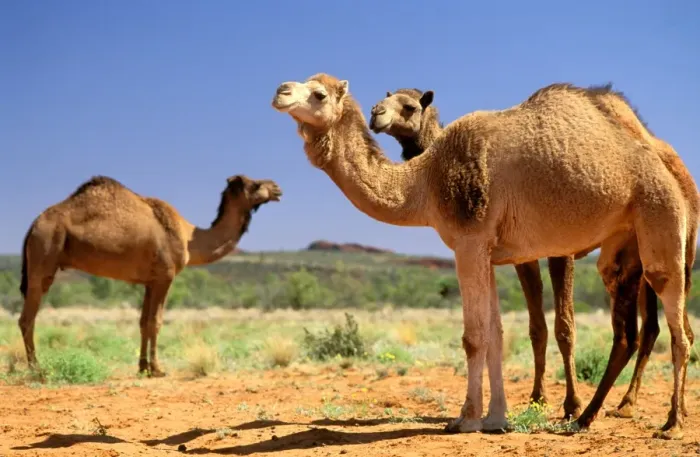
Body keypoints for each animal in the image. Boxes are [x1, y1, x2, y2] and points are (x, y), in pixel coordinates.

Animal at [19, 174, 282, 377]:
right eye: (255, 184)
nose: (277, 188)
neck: (188, 237)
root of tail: (33, 225)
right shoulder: (165, 276)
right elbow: (156, 321)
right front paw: (157, 369)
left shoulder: (149, 281)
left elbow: (143, 322)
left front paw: (143, 367)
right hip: (44, 254)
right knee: (27, 319)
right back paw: (37, 371)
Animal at [271, 73, 696, 439]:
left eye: (318, 94)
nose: (280, 91)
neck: (424, 180)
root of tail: (669, 162)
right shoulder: (488, 251)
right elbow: (496, 333)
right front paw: (496, 418)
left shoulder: (468, 242)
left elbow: (474, 336)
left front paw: (467, 418)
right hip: (621, 247)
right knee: (632, 328)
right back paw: (587, 417)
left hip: (660, 217)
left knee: (677, 326)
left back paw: (670, 423)